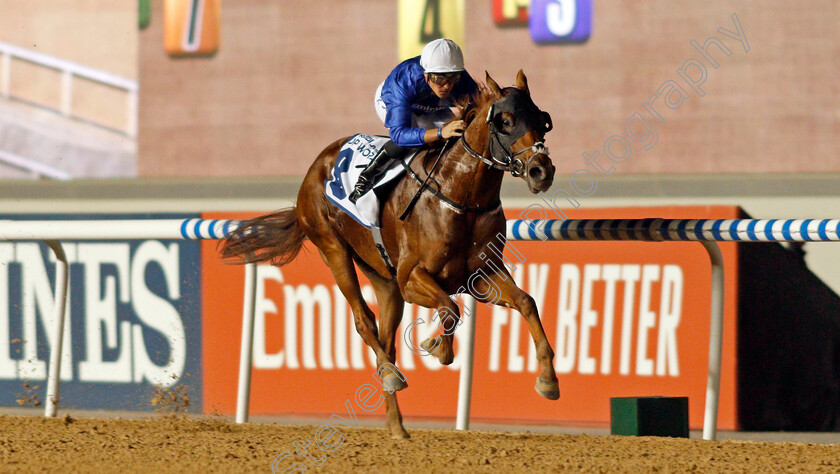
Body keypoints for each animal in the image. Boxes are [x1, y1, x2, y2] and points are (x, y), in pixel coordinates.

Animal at [223, 70, 560, 436]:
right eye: (506, 121)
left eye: (541, 120)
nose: (542, 170)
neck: (461, 197)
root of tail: (317, 165)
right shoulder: (412, 277)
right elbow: (450, 308)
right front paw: (436, 348)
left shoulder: (481, 276)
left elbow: (526, 301)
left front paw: (548, 379)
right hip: (333, 248)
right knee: (363, 321)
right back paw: (390, 376)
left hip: (384, 280)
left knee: (387, 339)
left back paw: (396, 423)